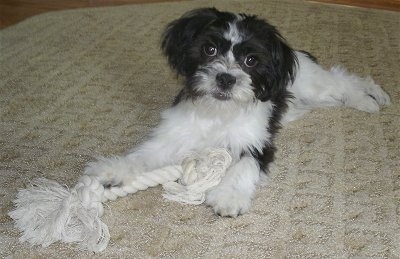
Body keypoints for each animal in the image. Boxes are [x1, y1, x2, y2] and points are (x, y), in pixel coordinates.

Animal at [85, 7, 390, 217]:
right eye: (209, 49)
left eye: (251, 60)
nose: (226, 79)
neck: (218, 113)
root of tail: (298, 55)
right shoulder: (171, 137)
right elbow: (142, 156)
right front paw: (112, 169)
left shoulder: (256, 143)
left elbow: (243, 165)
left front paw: (229, 196)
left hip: (314, 85)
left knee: (344, 79)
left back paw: (372, 99)